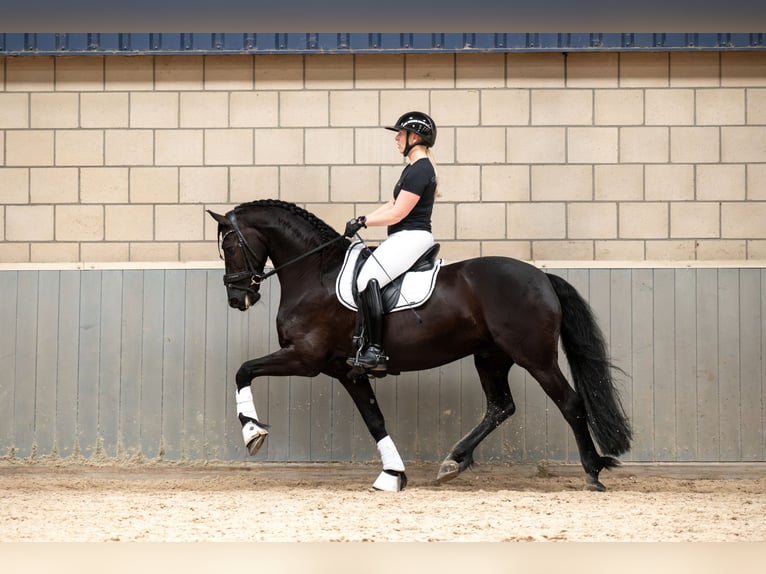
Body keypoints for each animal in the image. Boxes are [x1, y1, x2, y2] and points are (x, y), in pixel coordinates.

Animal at [208, 199, 632, 492]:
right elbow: (375, 419)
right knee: (500, 407)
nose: (237, 298)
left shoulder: (305, 358)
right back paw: (453, 462)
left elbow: (243, 370)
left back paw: (592, 472)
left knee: (570, 403)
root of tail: (542, 277)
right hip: (490, 357)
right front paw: (392, 475)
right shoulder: (346, 370)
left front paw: (253, 433)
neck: (316, 273)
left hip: (535, 357)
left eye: (230, 247)